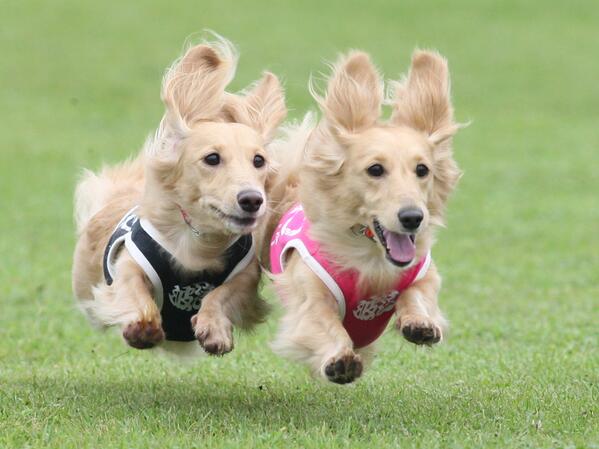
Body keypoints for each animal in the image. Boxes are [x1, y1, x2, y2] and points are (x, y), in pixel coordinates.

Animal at [72, 36, 288, 356]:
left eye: (258, 160)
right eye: (212, 158)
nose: (252, 200)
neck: (199, 242)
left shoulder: (246, 276)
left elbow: (221, 294)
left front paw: (214, 328)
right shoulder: (129, 262)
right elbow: (131, 286)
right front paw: (142, 326)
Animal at [258, 50, 464, 384]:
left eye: (422, 169)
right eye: (375, 169)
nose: (412, 217)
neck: (373, 257)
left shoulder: (424, 274)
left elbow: (418, 294)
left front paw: (420, 322)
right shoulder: (309, 297)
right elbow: (324, 323)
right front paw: (340, 360)